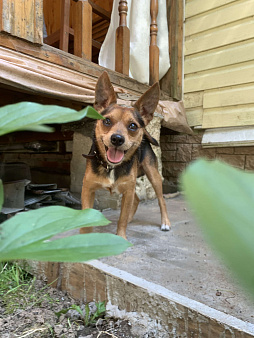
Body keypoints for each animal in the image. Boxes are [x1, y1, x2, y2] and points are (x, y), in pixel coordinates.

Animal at [80, 72, 170, 239]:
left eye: (133, 126)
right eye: (107, 121)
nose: (117, 139)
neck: (111, 167)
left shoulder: (127, 191)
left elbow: (121, 219)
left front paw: (121, 237)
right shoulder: (88, 189)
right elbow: (86, 220)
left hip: (153, 175)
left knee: (161, 200)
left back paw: (165, 222)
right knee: (137, 199)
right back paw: (130, 218)